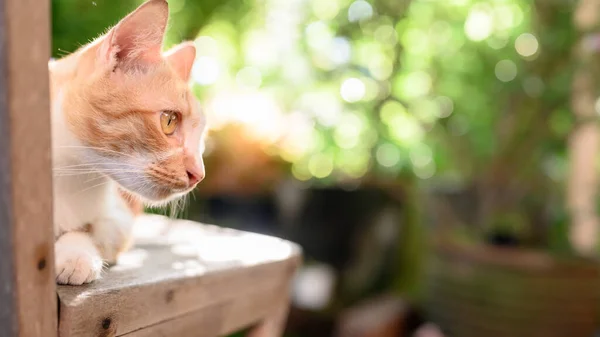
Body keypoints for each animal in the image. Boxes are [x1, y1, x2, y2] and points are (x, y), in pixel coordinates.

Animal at [48, 0, 206, 284]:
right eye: (169, 121)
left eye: (202, 137)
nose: (199, 175)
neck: (69, 174)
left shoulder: (119, 220)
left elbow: (90, 230)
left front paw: (76, 253)